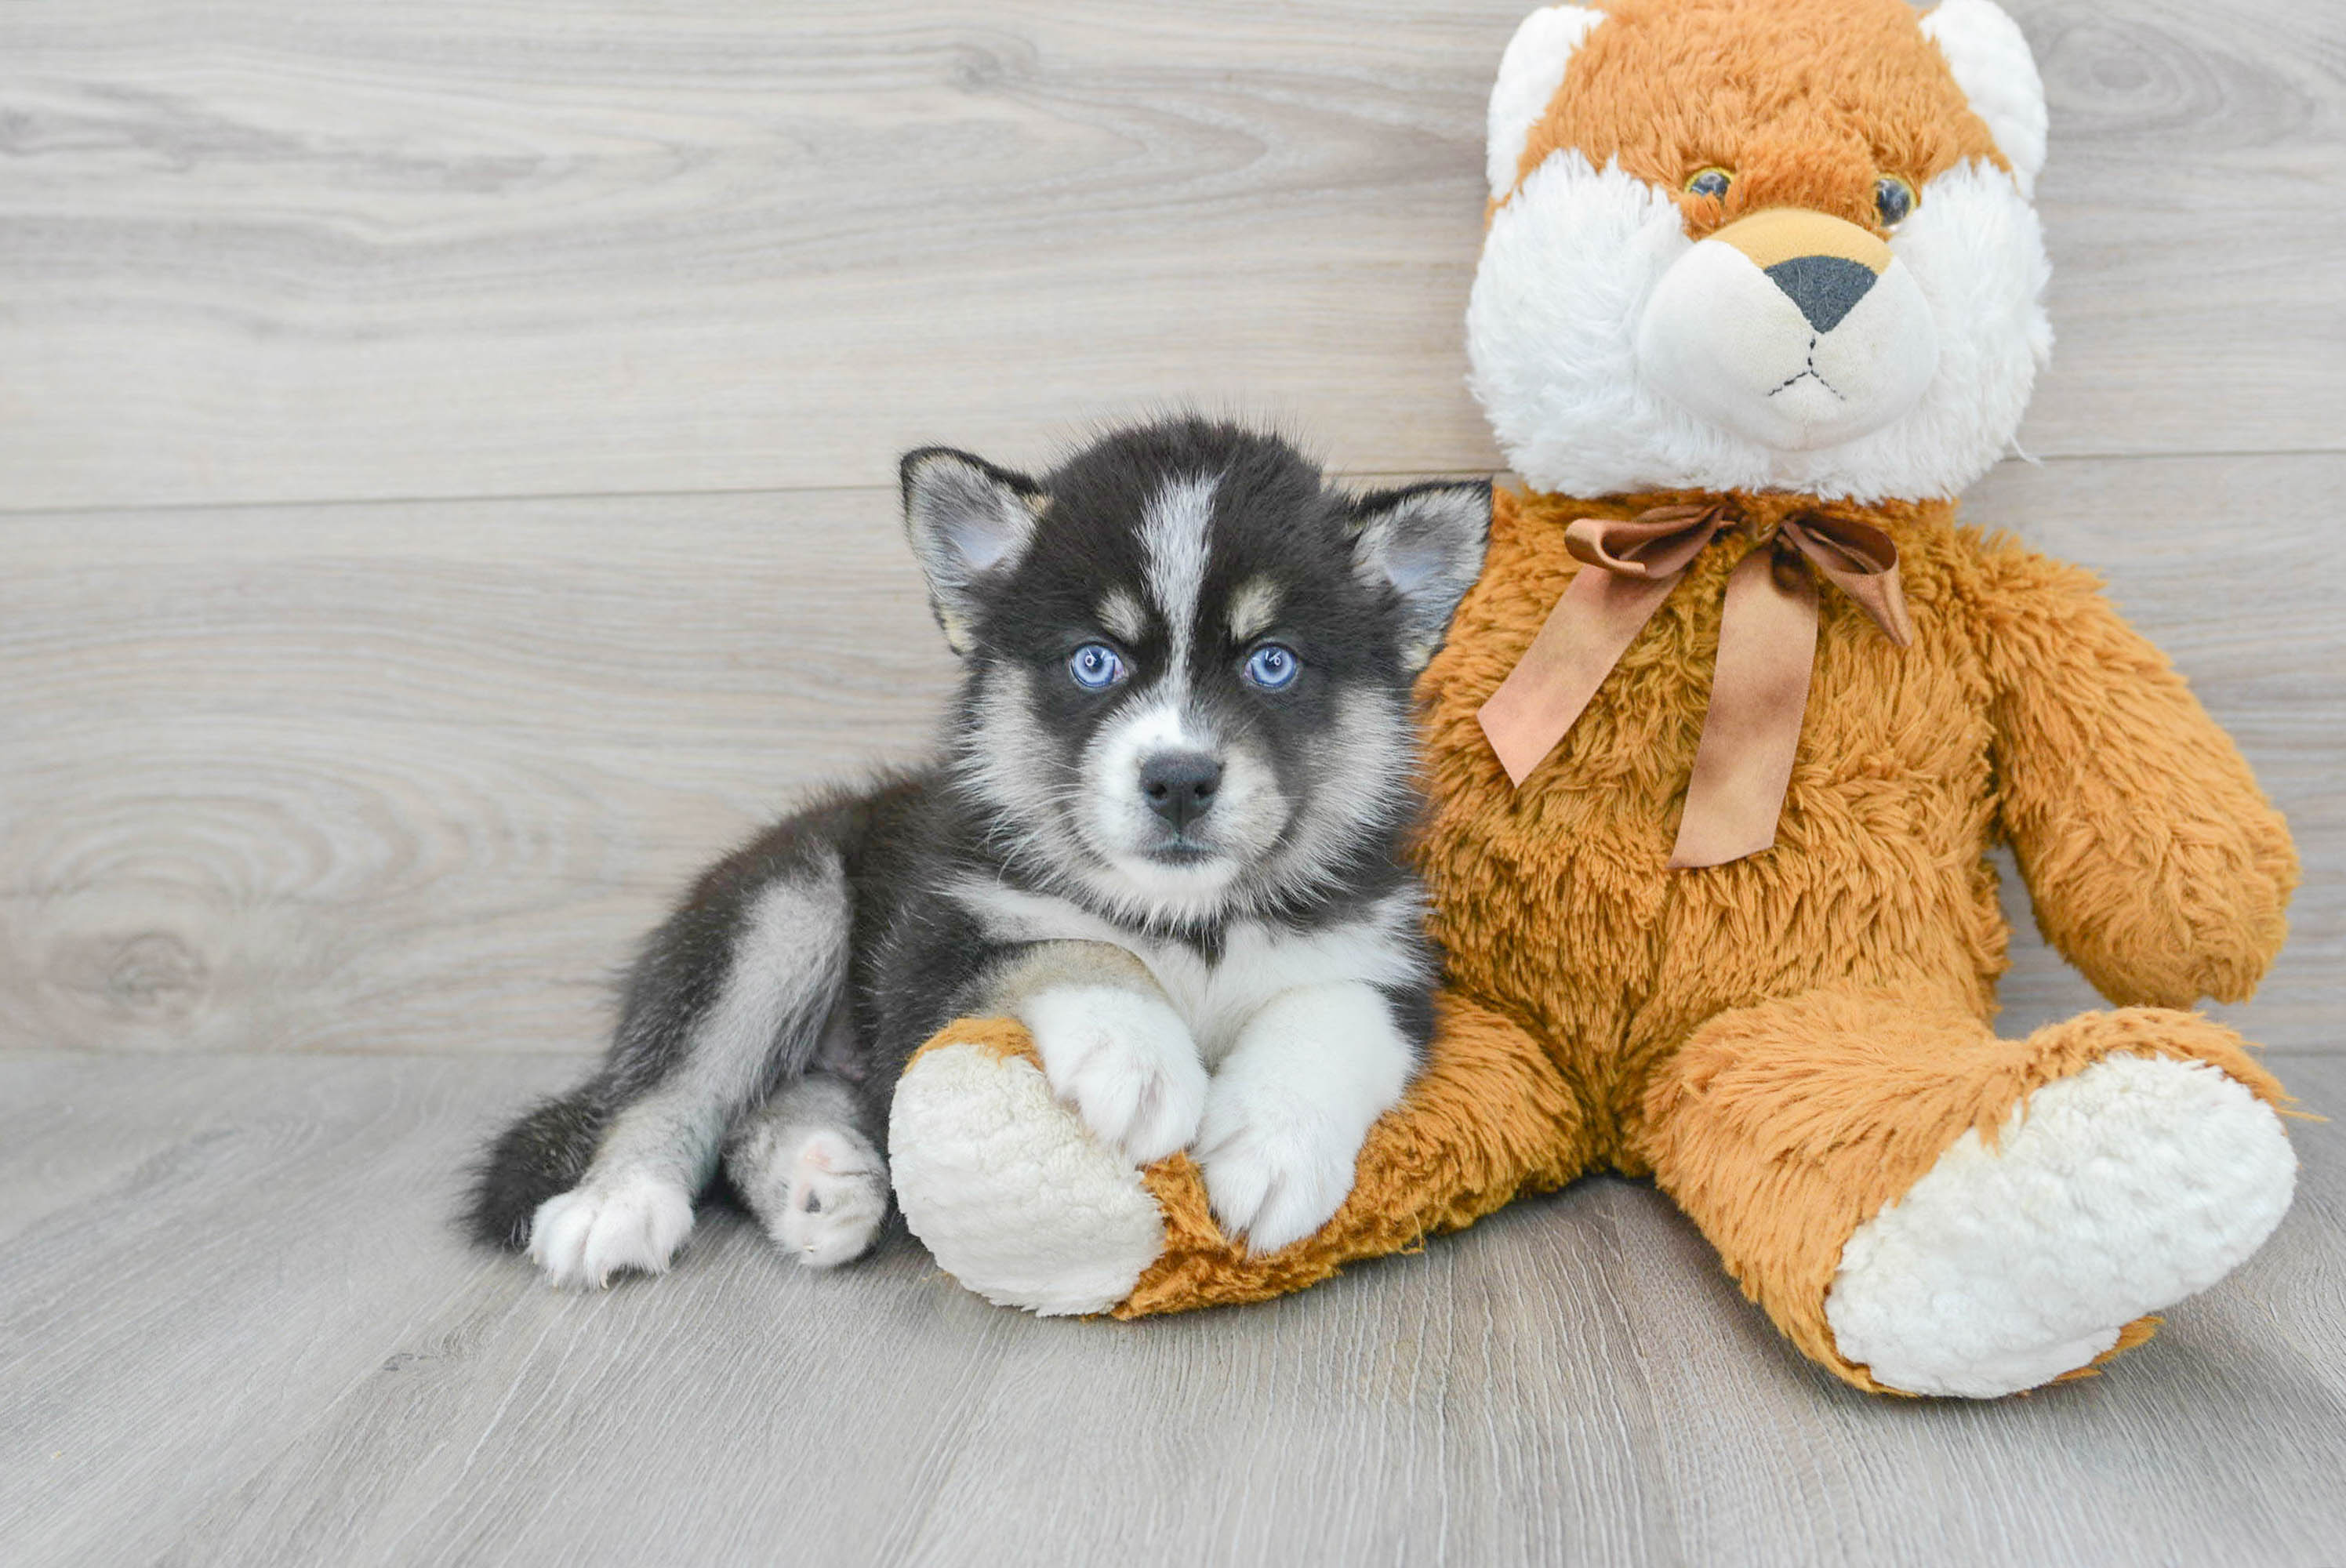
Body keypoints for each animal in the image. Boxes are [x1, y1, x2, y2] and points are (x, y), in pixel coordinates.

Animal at [464, 419, 1482, 1286]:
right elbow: (1073, 943)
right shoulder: (936, 950)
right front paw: (1138, 1053)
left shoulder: (1386, 964)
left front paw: (1274, 1145)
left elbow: (1329, 1013)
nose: (1180, 779)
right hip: (782, 906)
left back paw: (818, 1181)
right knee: (675, 1084)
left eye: (1272, 662)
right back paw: (621, 1198)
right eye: (1093, 661)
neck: (1189, 923)